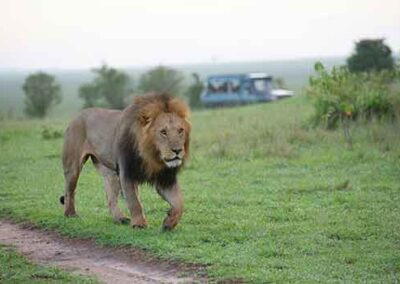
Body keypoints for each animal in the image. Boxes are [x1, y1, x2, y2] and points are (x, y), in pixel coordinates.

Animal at [59, 92, 191, 230]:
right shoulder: (126, 172)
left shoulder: (164, 177)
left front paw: (169, 222)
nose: (177, 150)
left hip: (110, 173)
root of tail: (78, 115)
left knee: (110, 198)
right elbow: (134, 201)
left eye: (180, 130)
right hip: (73, 168)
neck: (151, 156)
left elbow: (179, 202)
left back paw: (119, 218)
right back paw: (70, 214)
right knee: (69, 192)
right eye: (163, 132)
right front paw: (139, 224)